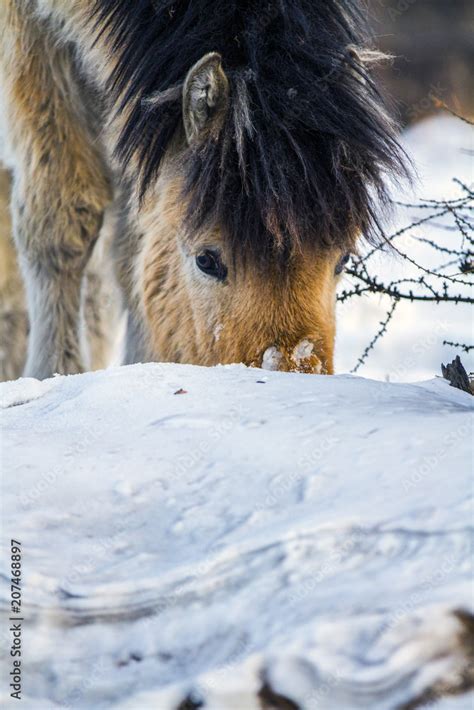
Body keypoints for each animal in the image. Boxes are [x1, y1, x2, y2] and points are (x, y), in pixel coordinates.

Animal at [0, 0, 408, 382]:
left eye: (344, 260)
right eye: (206, 261)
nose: (288, 375)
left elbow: (130, 255)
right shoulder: (31, 38)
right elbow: (61, 224)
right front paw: (53, 374)